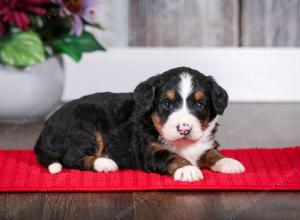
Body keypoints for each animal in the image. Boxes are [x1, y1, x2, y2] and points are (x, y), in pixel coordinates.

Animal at [35, 67, 245, 182]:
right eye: (167, 104)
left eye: (200, 105)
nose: (184, 128)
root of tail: (45, 129)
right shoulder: (151, 152)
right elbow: (172, 156)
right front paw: (187, 169)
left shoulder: (204, 143)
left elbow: (210, 152)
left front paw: (228, 161)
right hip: (85, 125)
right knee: (71, 157)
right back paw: (104, 163)